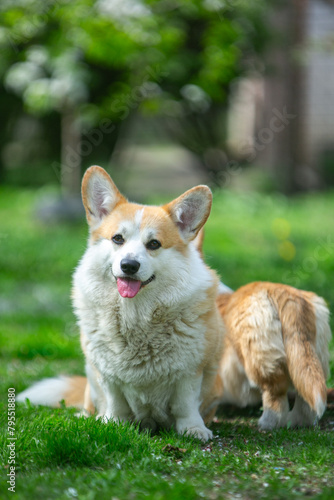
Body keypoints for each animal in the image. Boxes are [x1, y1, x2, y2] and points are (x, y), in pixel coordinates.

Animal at [18, 165, 227, 442]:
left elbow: (185, 404)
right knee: (90, 402)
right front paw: (112, 423)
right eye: (117, 239)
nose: (129, 265)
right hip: (90, 375)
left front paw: (193, 429)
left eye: (154, 244)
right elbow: (115, 401)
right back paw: (86, 416)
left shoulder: (190, 371)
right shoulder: (107, 372)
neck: (136, 314)